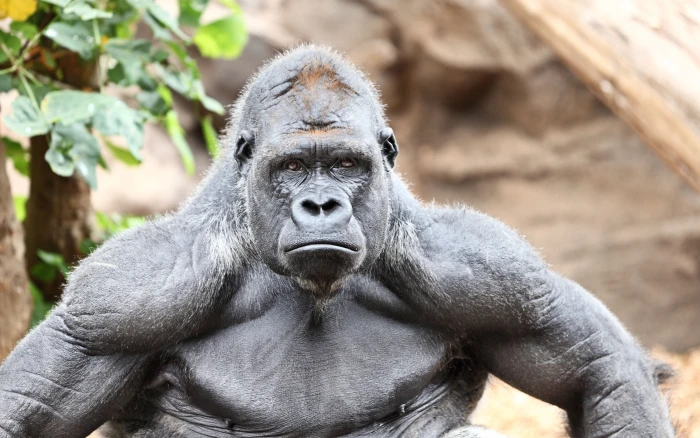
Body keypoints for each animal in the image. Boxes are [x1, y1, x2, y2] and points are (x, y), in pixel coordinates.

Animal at [0, 44, 674, 438]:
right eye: (294, 167)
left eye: (346, 165)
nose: (321, 205)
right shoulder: (126, 297)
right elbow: (25, 409)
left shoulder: (493, 275)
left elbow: (600, 368)